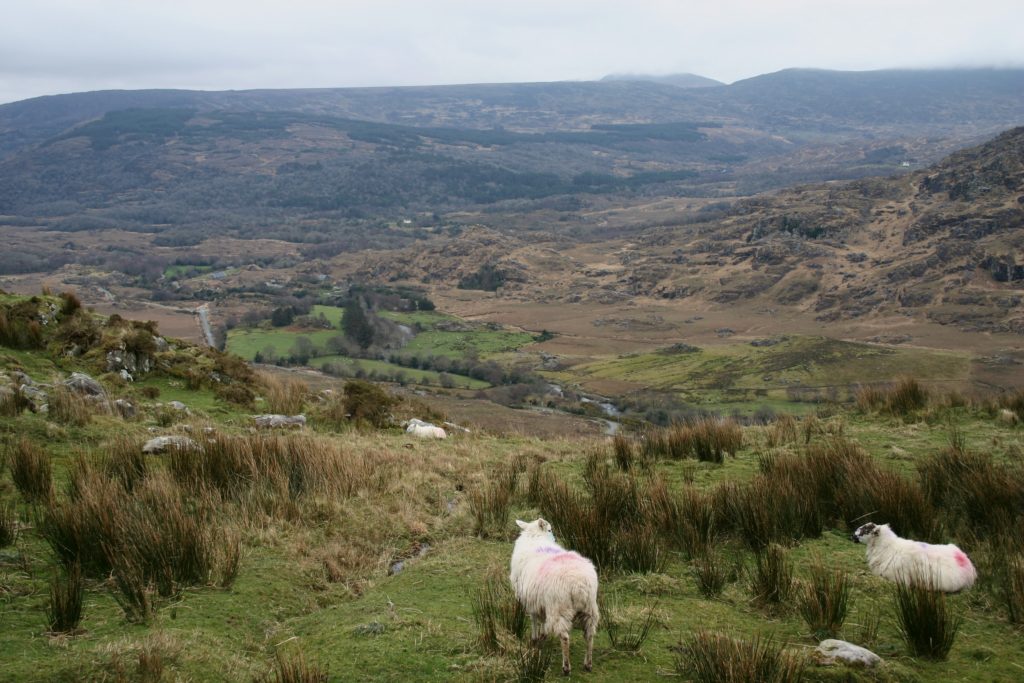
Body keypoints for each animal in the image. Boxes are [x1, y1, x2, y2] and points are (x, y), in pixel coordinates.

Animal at [512, 520, 598, 675]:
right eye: (550, 530)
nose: (555, 539)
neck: (535, 539)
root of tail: (579, 584)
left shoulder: (532, 601)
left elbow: (534, 620)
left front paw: (535, 639)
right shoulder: (539, 601)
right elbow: (542, 621)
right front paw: (542, 636)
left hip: (559, 608)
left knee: (564, 637)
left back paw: (566, 667)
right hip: (589, 608)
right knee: (589, 635)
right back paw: (588, 664)